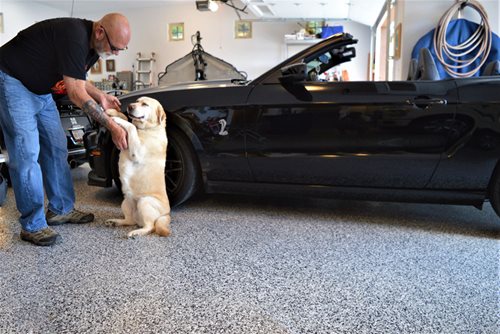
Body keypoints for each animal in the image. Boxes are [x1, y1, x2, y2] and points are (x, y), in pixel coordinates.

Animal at [105, 96, 172, 237]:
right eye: (136, 101)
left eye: (145, 104)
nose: (130, 106)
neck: (147, 129)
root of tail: (167, 214)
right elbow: (128, 120)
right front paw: (113, 112)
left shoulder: (137, 151)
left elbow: (131, 126)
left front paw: (118, 119)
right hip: (126, 201)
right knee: (129, 220)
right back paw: (115, 222)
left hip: (144, 201)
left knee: (150, 227)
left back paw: (136, 233)